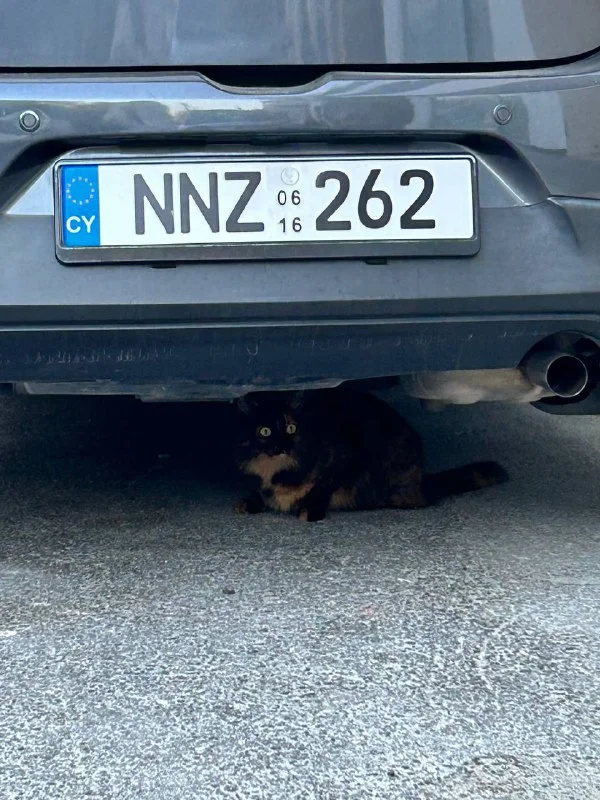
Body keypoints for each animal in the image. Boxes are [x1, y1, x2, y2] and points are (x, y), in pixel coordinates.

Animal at [235, 389, 508, 522]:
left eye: (291, 428)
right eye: (265, 431)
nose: (282, 446)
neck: (276, 473)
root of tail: (421, 479)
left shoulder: (345, 460)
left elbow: (322, 487)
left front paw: (309, 511)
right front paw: (251, 502)